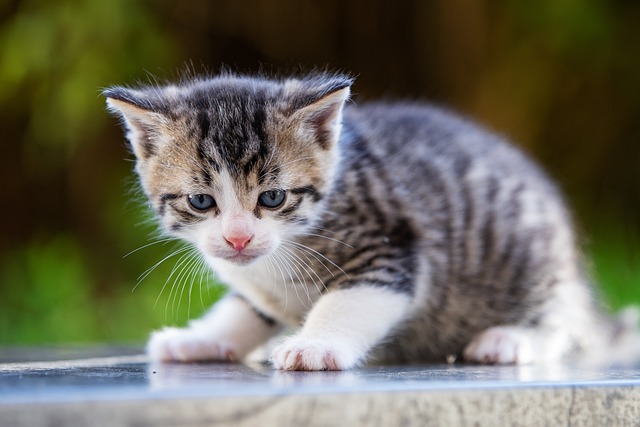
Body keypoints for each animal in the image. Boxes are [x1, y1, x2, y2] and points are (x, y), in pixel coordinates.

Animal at [104, 72, 620, 370]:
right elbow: (246, 308)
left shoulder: (388, 242)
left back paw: (511, 338)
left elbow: (348, 302)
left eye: (272, 198)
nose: (237, 238)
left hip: (532, 253)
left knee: (564, 321)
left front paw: (314, 346)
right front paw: (205, 339)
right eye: (200, 201)